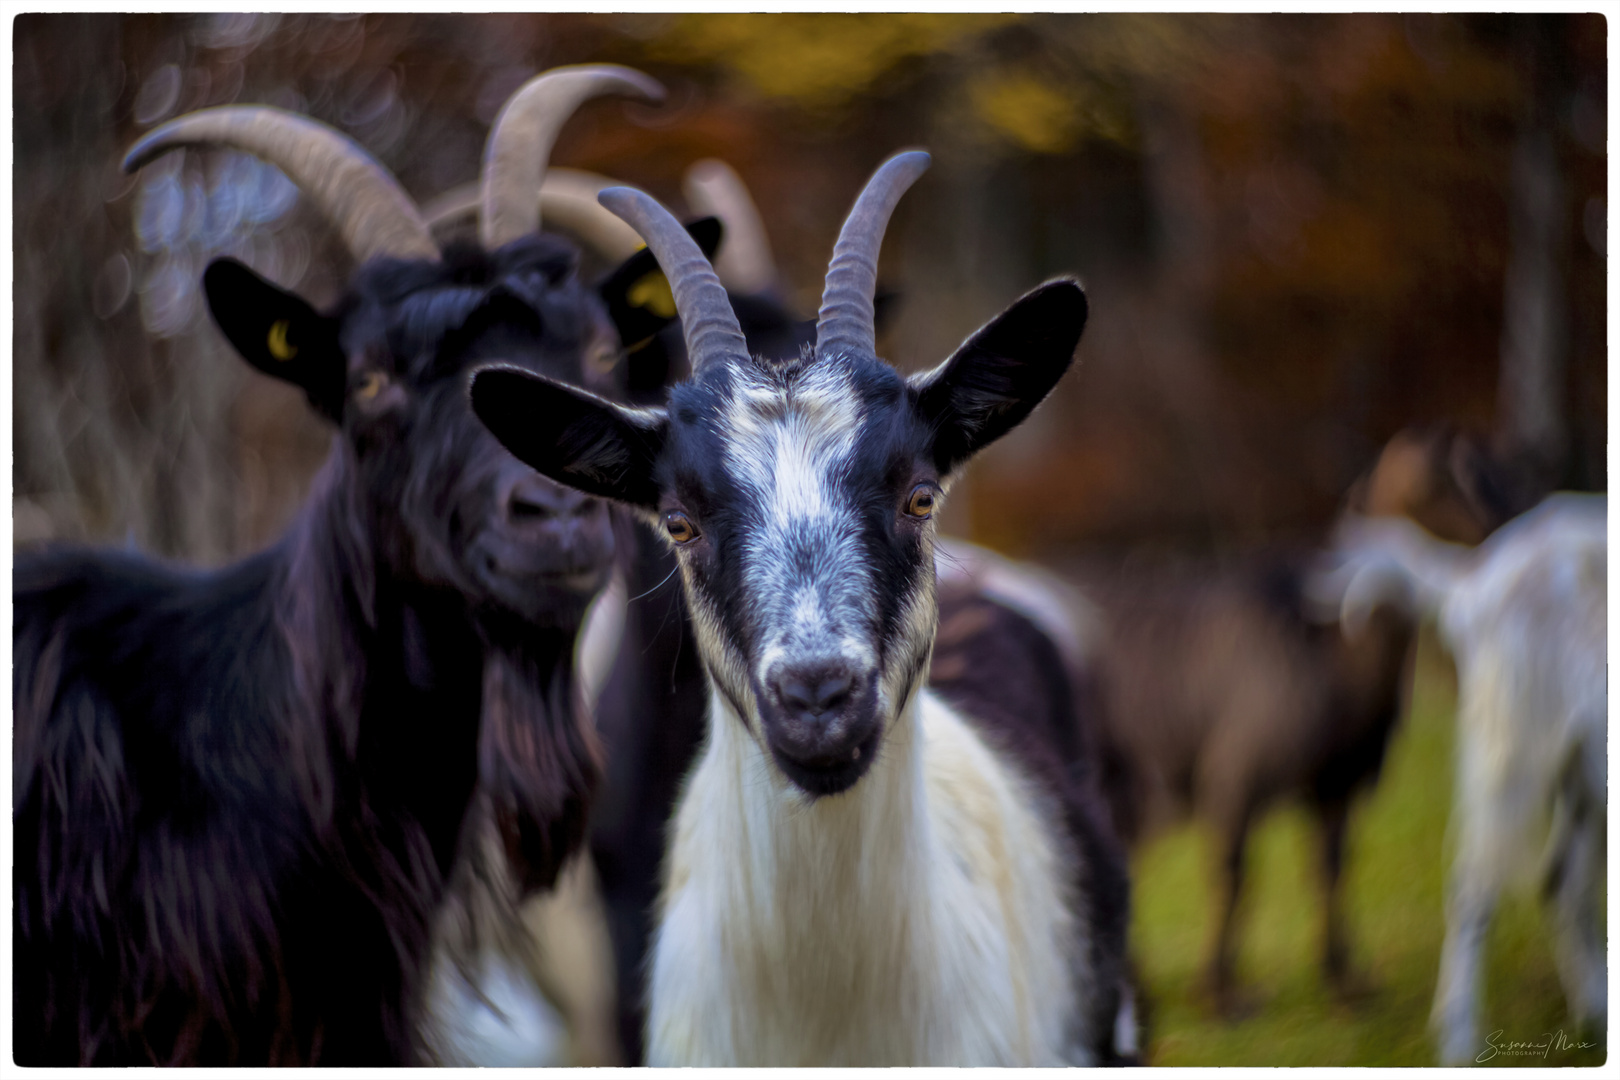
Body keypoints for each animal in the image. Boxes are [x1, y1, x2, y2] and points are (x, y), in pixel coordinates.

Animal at [1321, 495, 1600, 1062]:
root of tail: (1475, 581)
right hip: (1512, 755)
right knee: (1476, 889)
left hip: (1575, 772)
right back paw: (1459, 1041)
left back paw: (1594, 1011)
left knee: (1563, 882)